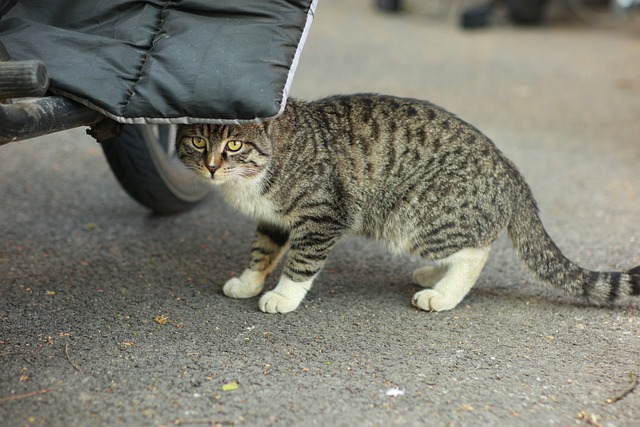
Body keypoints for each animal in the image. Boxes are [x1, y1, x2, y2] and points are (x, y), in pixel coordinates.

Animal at [175, 94, 640, 314]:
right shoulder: (275, 219)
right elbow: (262, 251)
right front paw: (248, 281)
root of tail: (510, 169)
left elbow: (301, 262)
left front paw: (283, 296)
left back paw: (443, 295)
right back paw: (432, 276)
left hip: (417, 217)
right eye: (197, 141)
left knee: (475, 251)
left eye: (234, 145)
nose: (212, 166)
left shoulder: (323, 216)